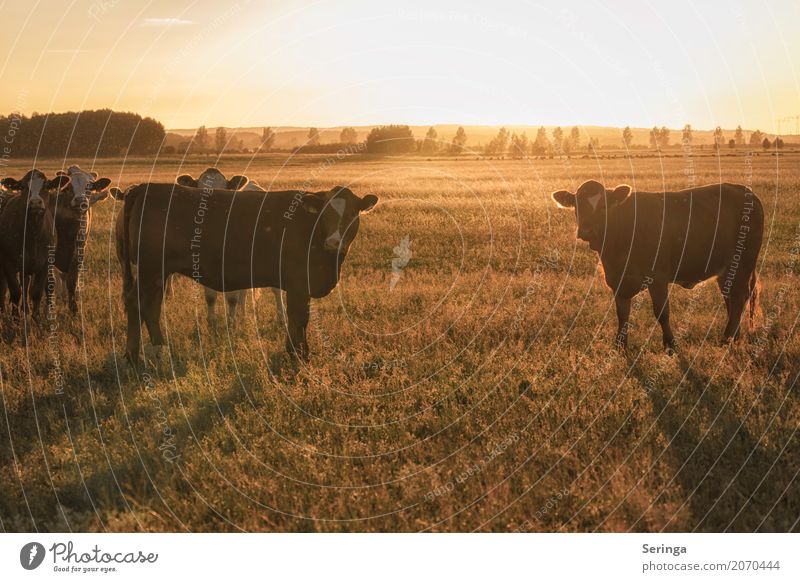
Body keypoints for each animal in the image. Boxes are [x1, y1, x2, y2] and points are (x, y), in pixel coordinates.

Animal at [0, 170, 71, 320]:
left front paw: (36, 318)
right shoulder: (8, 263)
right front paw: (15, 318)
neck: (32, 236)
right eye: (23, 187)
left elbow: (36, 292)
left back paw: (25, 310)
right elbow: (15, 291)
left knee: (25, 283)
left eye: (46, 186)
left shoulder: (44, 265)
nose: (35, 202)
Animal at [50, 167, 111, 312]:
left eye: (90, 186)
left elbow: (72, 280)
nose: (79, 200)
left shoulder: (78, 251)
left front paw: (74, 307)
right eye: (69, 187)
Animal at [119, 184, 378, 364]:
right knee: (137, 303)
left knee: (150, 306)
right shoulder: (298, 285)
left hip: (158, 272)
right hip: (150, 269)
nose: (334, 242)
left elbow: (298, 319)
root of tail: (145, 188)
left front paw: (297, 353)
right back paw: (133, 356)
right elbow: (298, 319)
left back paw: (158, 350)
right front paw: (299, 355)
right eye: (325, 215)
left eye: (352, 214)